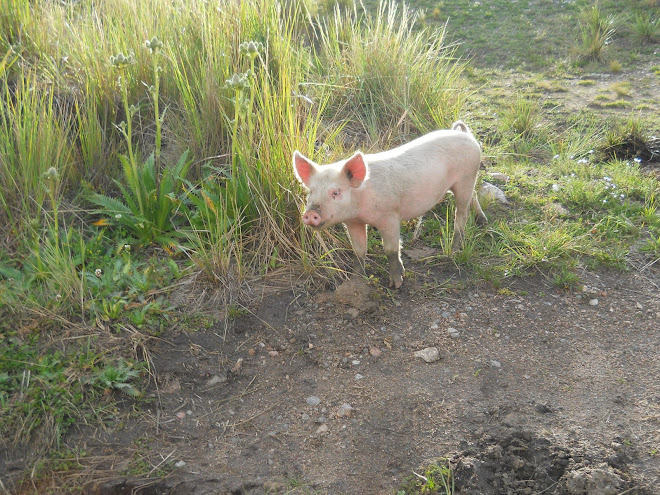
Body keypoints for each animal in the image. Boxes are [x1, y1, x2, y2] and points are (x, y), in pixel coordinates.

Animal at [292, 120, 484, 288]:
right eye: (311, 192)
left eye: (336, 192)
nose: (310, 213)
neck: (360, 207)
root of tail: (466, 134)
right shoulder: (353, 222)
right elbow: (359, 251)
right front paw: (355, 280)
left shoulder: (390, 216)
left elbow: (391, 250)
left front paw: (396, 284)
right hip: (465, 182)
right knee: (474, 195)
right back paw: (482, 221)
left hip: (466, 177)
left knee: (461, 213)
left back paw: (455, 249)